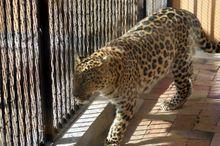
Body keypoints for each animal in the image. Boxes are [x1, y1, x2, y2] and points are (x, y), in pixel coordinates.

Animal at [73, 7, 220, 146]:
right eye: (74, 80)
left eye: (86, 81)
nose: (74, 95)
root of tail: (185, 12)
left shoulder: (127, 102)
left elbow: (117, 126)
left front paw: (111, 142)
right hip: (183, 61)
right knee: (189, 79)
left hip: (178, 63)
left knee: (184, 86)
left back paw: (172, 104)